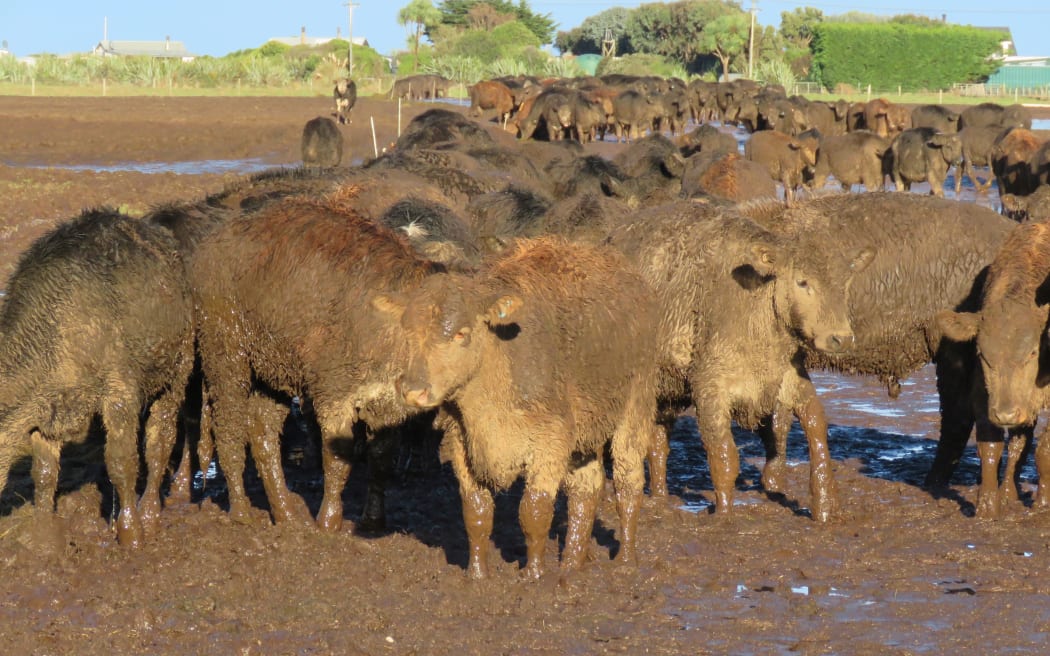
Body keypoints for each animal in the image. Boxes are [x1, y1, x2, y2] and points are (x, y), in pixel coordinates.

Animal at [0, 208, 195, 547]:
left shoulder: (120, 395)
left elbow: (121, 462)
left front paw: (131, 533)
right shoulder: (44, 412)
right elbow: (44, 474)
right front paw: (43, 536)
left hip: (176, 371)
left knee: (160, 442)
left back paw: (150, 514)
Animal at [189, 190, 445, 532]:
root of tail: (207, 249)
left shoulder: (387, 408)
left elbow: (380, 460)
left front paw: (373, 519)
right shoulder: (332, 396)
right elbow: (337, 459)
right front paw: (328, 522)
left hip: (273, 369)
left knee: (263, 433)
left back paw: (286, 513)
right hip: (226, 357)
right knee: (229, 428)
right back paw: (242, 511)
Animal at [376, 237, 659, 580]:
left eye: (461, 333)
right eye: (407, 332)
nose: (414, 390)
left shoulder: (551, 442)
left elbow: (534, 511)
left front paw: (533, 575)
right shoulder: (461, 443)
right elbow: (476, 512)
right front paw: (477, 575)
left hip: (636, 406)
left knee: (628, 483)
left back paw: (625, 560)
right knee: (586, 490)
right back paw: (572, 564)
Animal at [607, 201, 875, 523]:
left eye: (845, 283)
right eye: (803, 282)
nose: (840, 338)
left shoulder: (789, 375)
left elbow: (816, 428)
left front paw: (825, 505)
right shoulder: (709, 388)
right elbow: (723, 454)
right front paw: (724, 513)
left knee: (658, 442)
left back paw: (660, 496)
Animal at [936, 220, 1050, 517]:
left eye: (1032, 352)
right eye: (982, 354)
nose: (1006, 413)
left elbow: (1044, 452)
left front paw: (1042, 505)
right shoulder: (984, 396)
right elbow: (990, 447)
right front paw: (987, 507)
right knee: (1020, 443)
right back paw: (1008, 493)